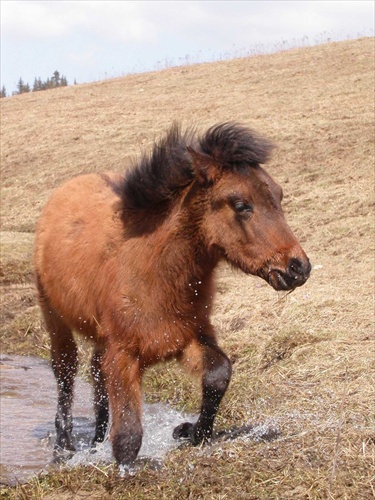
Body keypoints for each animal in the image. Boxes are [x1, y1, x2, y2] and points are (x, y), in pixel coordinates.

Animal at [34, 123, 312, 466]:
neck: (154, 271)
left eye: (279, 195)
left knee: (96, 376)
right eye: (241, 205)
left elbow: (219, 373)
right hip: (55, 318)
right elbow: (128, 437)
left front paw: (192, 432)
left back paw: (96, 441)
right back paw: (64, 446)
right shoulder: (124, 355)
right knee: (66, 371)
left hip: (100, 337)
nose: (298, 267)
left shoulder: (187, 336)